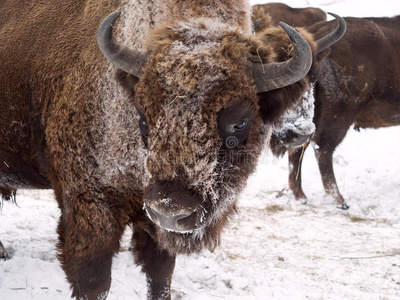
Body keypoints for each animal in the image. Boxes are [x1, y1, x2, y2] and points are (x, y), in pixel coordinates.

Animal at [0, 0, 340, 298]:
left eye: (240, 122)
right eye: (142, 115)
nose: (171, 211)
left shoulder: (155, 228)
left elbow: (160, 275)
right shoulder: (90, 205)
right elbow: (94, 282)